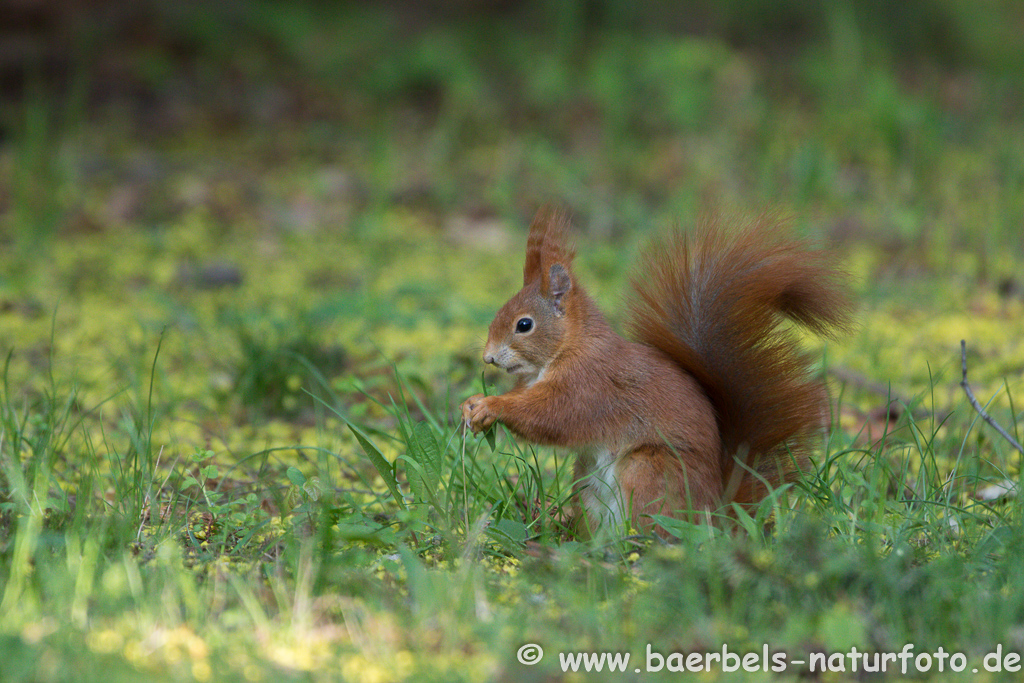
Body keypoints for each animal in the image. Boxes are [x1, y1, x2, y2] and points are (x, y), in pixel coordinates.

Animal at [460, 205, 851, 536]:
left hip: (649, 470)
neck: (568, 348)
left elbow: (552, 416)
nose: (488, 358)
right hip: (588, 484)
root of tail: (716, 515)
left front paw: (492, 406)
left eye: (524, 325)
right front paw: (472, 403)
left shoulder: (590, 385)